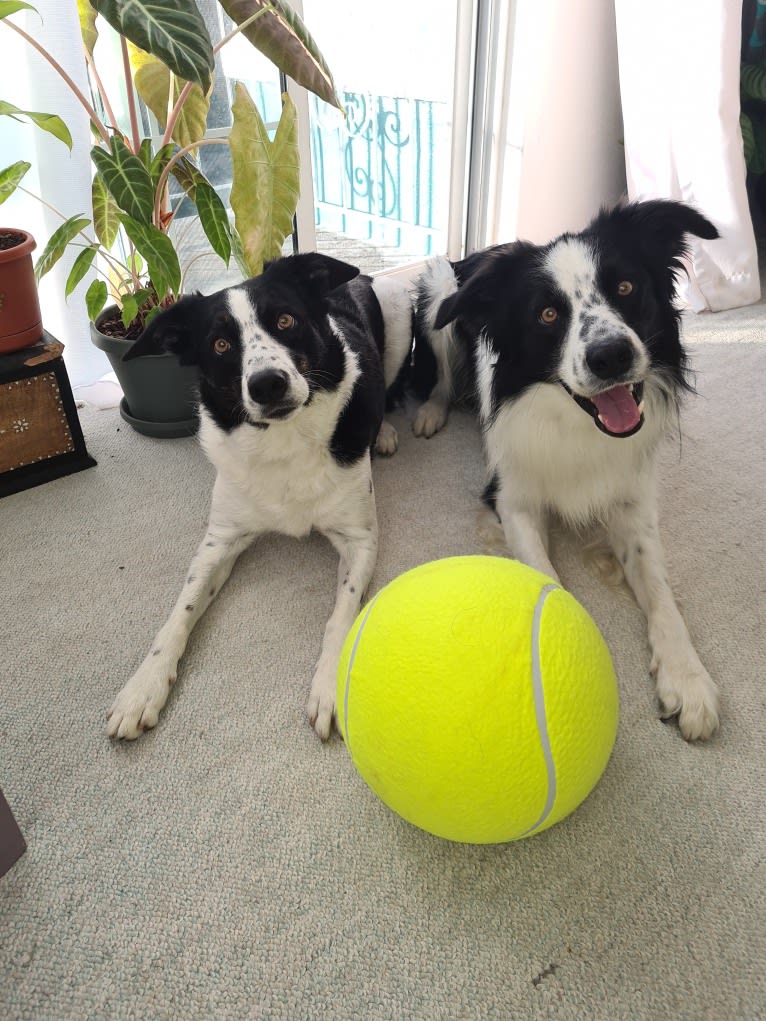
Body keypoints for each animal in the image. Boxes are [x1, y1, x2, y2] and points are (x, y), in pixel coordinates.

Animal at [106, 251, 414, 739]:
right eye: (219, 345)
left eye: (286, 320)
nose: (267, 384)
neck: (283, 441)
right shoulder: (221, 539)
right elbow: (180, 610)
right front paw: (143, 686)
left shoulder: (360, 538)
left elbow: (341, 613)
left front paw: (329, 686)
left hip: (399, 307)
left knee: (389, 388)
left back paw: (381, 433)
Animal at [414, 199, 719, 743]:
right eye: (548, 314)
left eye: (626, 288)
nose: (611, 356)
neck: (576, 425)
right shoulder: (512, 501)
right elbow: (548, 579)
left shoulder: (631, 500)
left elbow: (661, 591)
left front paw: (687, 679)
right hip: (438, 292)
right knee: (442, 381)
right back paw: (430, 412)